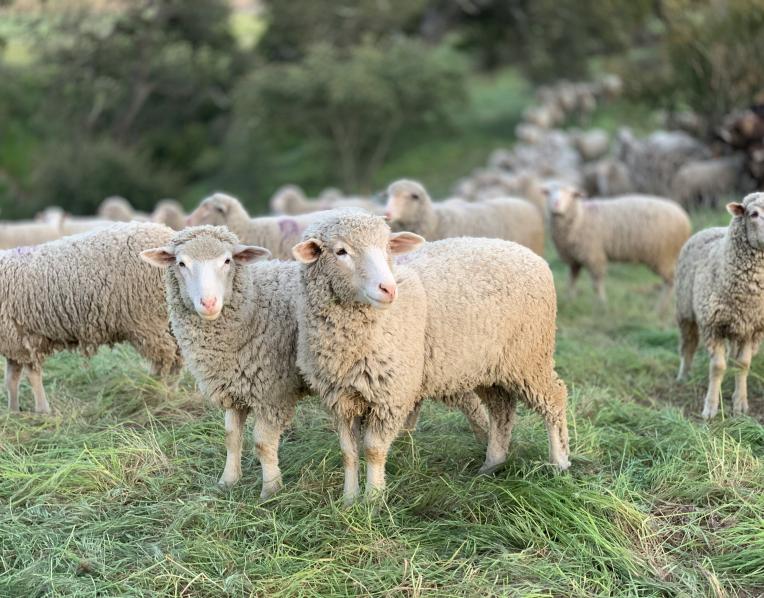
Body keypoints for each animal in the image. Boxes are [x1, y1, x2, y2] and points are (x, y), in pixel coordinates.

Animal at [2, 222, 181, 414]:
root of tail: (169, 233)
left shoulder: (23, 339)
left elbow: (32, 376)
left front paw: (42, 410)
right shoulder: (13, 342)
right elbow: (11, 379)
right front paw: (13, 411)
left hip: (148, 320)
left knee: (166, 357)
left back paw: (159, 393)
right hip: (166, 318)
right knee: (176, 355)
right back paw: (165, 390)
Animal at [141, 225, 490, 497]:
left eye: (227, 261)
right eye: (181, 263)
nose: (209, 302)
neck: (253, 305)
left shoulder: (273, 391)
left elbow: (262, 443)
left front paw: (271, 489)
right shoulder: (233, 387)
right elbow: (231, 437)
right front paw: (228, 481)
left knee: (474, 406)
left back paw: (486, 447)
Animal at [293, 210, 569, 502]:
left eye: (388, 247)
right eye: (341, 251)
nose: (388, 289)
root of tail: (530, 255)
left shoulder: (391, 394)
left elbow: (373, 450)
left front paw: (373, 500)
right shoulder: (340, 398)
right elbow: (348, 452)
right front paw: (348, 500)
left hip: (530, 356)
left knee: (554, 398)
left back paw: (559, 462)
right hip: (489, 364)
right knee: (501, 410)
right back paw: (492, 464)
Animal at [545, 183, 691, 305]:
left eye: (571, 194)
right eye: (549, 193)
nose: (556, 204)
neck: (580, 217)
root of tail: (685, 218)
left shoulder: (594, 255)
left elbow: (597, 282)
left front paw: (601, 303)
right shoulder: (574, 259)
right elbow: (571, 280)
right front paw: (569, 299)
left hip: (663, 256)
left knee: (671, 282)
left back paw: (660, 309)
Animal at [675, 193, 764, 418]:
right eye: (753, 214)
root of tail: (711, 227)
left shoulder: (752, 327)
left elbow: (743, 364)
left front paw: (740, 403)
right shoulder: (712, 325)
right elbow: (717, 367)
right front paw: (710, 407)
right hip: (685, 311)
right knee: (688, 345)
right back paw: (683, 376)